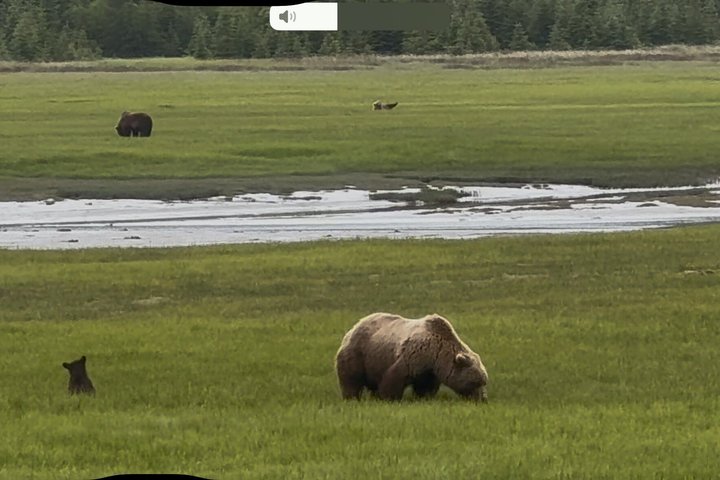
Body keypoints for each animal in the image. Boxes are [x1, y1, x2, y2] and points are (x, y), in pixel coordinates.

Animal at [335, 312, 488, 402]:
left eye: (483, 381)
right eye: (475, 382)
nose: (482, 399)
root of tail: (354, 327)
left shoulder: (429, 370)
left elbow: (426, 386)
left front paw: (424, 398)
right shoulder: (414, 355)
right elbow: (394, 378)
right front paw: (389, 398)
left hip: (374, 363)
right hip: (358, 354)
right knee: (351, 379)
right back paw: (352, 398)